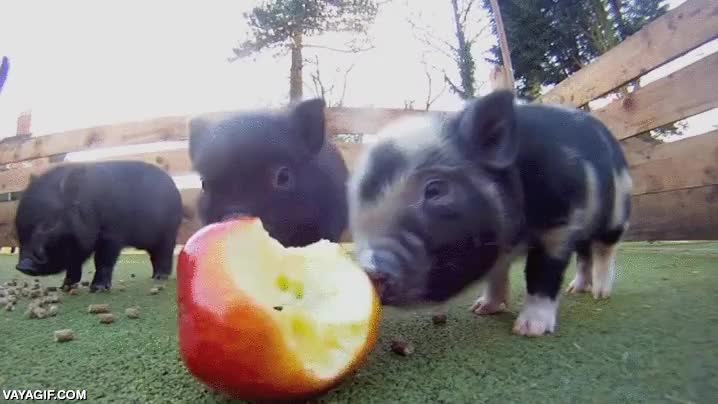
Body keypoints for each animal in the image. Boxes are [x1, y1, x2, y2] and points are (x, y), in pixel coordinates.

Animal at [14, 160, 184, 292]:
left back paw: (161, 277)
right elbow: (73, 264)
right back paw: (154, 276)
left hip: (169, 231)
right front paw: (65, 287)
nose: (22, 266)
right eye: (19, 226)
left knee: (165, 252)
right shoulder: (76, 246)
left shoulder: (112, 235)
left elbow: (102, 260)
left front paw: (97, 289)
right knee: (154, 256)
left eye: (49, 225)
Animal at [347, 89, 633, 337]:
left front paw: (528, 330)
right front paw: (481, 309)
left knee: (604, 251)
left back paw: (600, 294)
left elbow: (542, 272)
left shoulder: (558, 223)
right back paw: (577, 290)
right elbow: (496, 273)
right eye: (354, 203)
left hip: (616, 213)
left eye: (435, 189)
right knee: (584, 255)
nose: (369, 270)